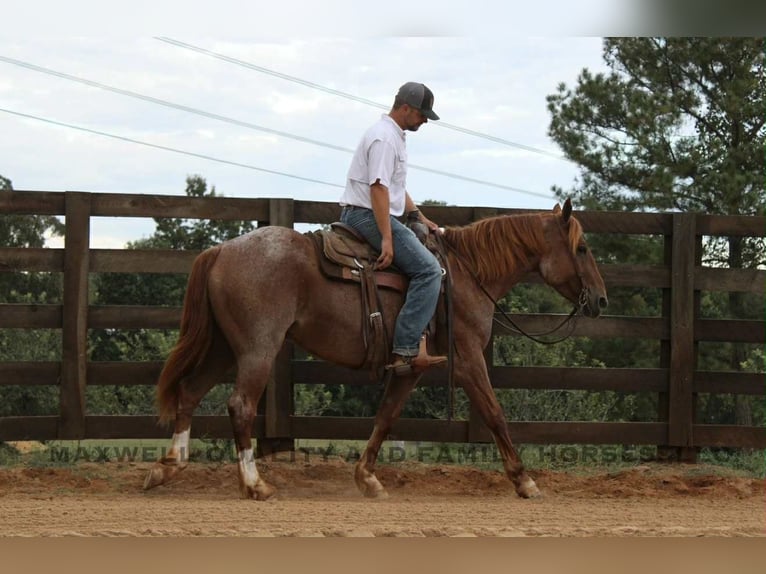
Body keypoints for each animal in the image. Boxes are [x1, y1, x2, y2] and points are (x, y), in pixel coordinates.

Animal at [143, 198, 608, 500]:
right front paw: (524, 481)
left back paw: (167, 468)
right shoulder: (469, 359)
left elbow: (385, 417)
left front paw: (367, 479)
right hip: (258, 348)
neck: (464, 274)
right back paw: (255, 484)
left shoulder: (410, 367)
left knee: (189, 392)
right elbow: (494, 413)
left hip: (224, 347)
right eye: (582, 248)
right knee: (239, 406)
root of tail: (222, 249)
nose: (601, 301)